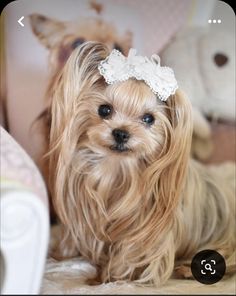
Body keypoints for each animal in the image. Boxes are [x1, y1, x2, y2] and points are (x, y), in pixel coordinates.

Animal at [48, 41, 236, 284]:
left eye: (149, 119)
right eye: (104, 110)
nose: (121, 133)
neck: (119, 169)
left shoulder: (148, 230)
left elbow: (130, 252)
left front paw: (108, 277)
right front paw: (63, 255)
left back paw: (188, 269)